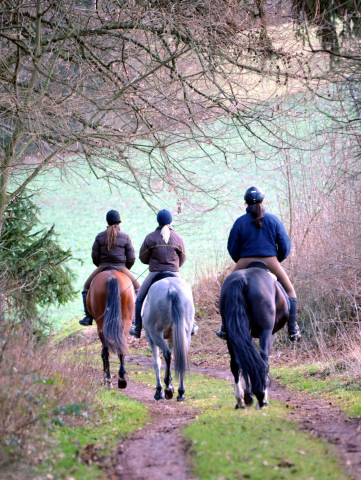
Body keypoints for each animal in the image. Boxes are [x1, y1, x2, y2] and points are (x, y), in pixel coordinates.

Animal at [142, 274, 195, 402]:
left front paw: (160, 390)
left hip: (155, 335)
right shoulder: (171, 337)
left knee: (166, 354)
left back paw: (166, 389)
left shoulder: (149, 337)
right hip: (185, 334)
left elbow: (156, 362)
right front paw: (170, 383)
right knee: (179, 355)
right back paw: (181, 392)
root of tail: (172, 289)